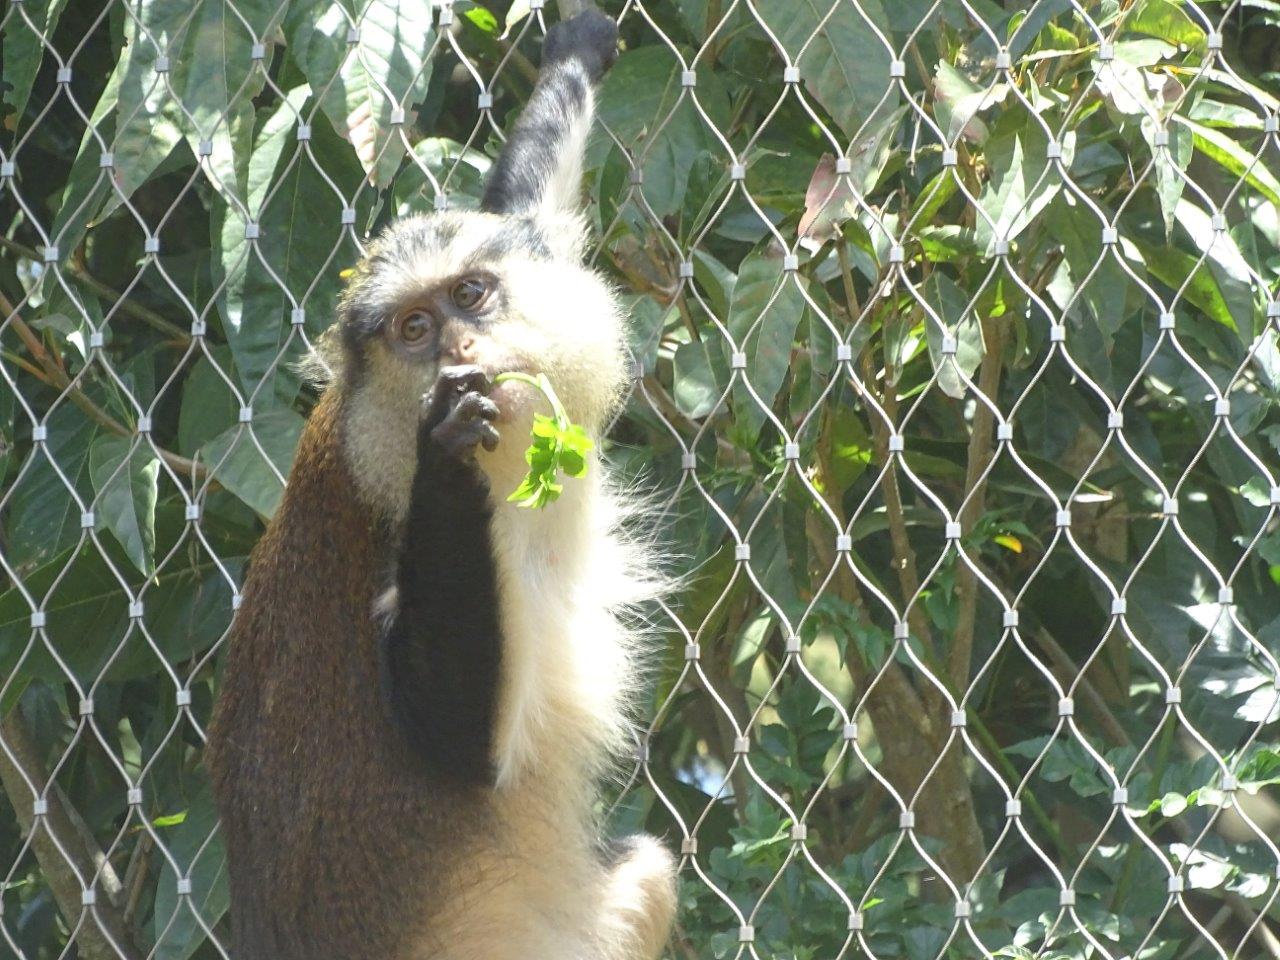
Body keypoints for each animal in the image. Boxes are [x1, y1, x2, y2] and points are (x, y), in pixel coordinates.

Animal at [204, 11, 678, 960]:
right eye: (415, 330)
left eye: (472, 295)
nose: (460, 353)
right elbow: (457, 741)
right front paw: (447, 453)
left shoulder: (520, 242)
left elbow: (524, 211)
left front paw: (574, 55)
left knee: (649, 871)